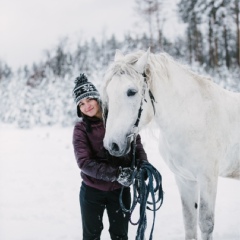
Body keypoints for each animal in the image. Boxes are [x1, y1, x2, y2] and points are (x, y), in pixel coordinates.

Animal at [101, 49, 240, 240]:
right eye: (108, 92)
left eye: (131, 91)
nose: (112, 145)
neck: (192, 117)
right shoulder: (184, 179)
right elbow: (189, 223)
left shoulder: (208, 179)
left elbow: (206, 223)